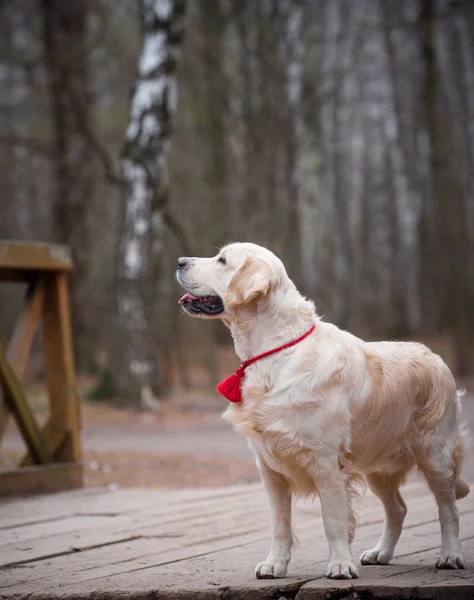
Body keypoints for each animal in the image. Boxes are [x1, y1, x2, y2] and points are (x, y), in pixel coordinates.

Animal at [176, 241, 468, 580]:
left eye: (222, 260)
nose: (180, 261)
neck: (277, 353)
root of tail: (433, 355)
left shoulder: (327, 462)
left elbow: (333, 520)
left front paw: (340, 564)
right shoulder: (269, 466)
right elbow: (279, 523)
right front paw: (274, 564)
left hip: (435, 454)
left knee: (448, 509)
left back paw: (450, 555)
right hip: (378, 466)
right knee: (398, 508)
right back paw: (380, 553)